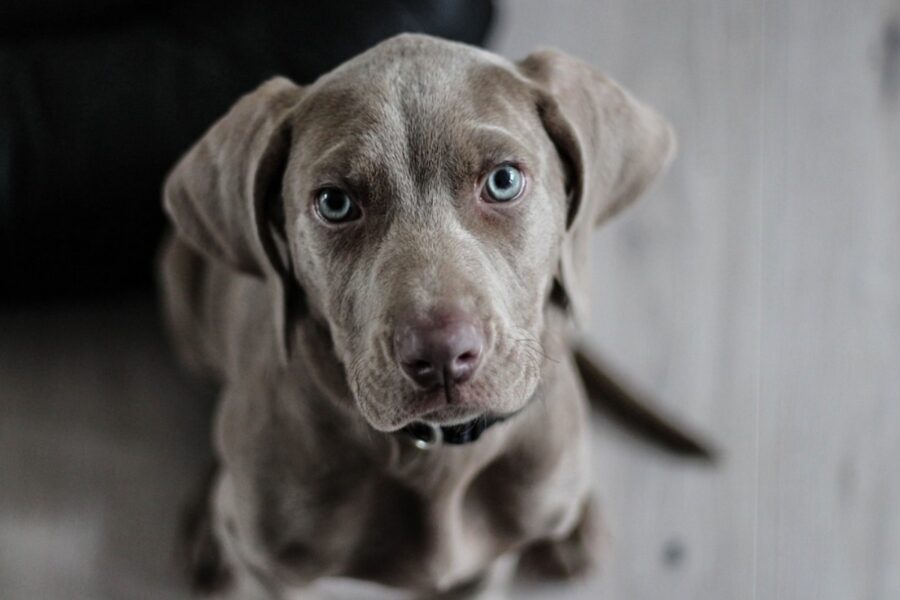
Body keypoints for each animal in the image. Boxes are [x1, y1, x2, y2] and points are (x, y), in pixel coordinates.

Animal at [158, 34, 672, 600]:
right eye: (334, 203)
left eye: (503, 180)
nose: (442, 355)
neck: (435, 457)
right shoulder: (276, 574)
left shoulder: (485, 566)